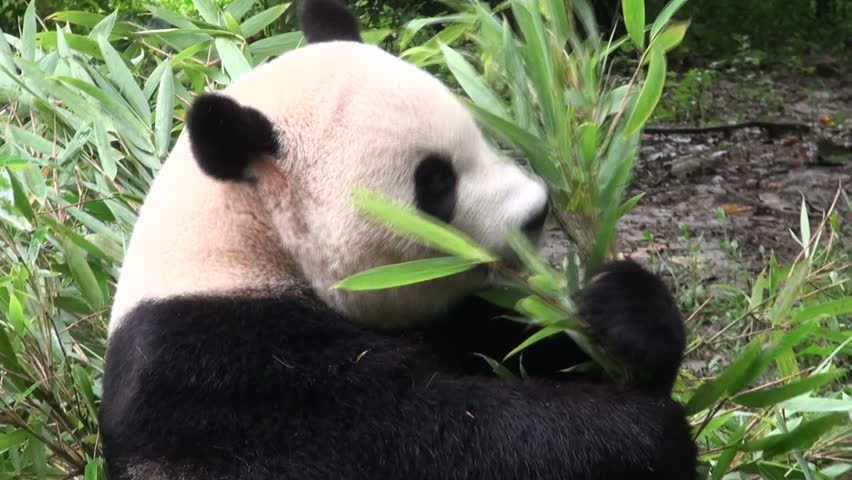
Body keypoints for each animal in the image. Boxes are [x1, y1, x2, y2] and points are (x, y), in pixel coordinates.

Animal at [99, 1, 697, 479]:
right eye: (434, 185)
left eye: (480, 135)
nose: (536, 211)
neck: (247, 246)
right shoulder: (229, 376)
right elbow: (429, 437)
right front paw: (644, 435)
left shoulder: (448, 311)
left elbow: (526, 340)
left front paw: (622, 311)